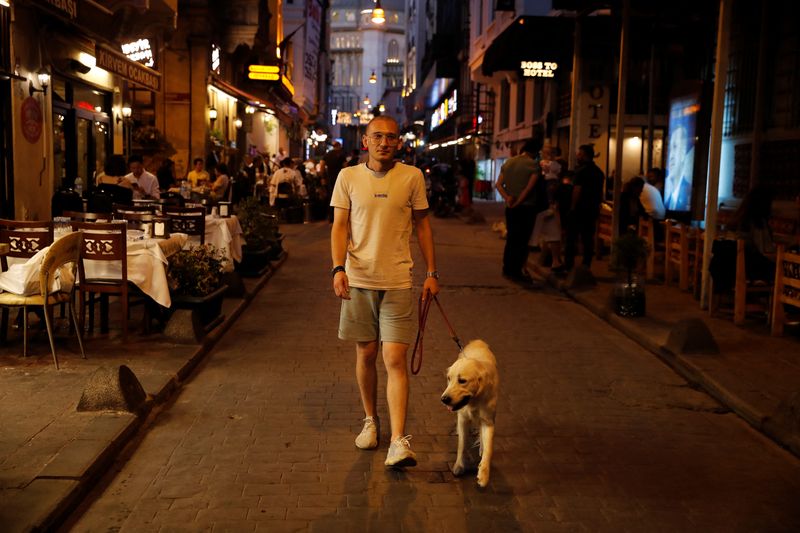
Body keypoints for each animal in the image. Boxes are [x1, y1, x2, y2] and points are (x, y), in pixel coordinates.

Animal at [440, 340, 496, 486]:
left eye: (462, 381)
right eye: (449, 378)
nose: (443, 399)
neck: (474, 401)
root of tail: (478, 341)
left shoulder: (488, 420)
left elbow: (489, 447)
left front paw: (484, 474)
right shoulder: (462, 419)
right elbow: (462, 444)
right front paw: (459, 466)